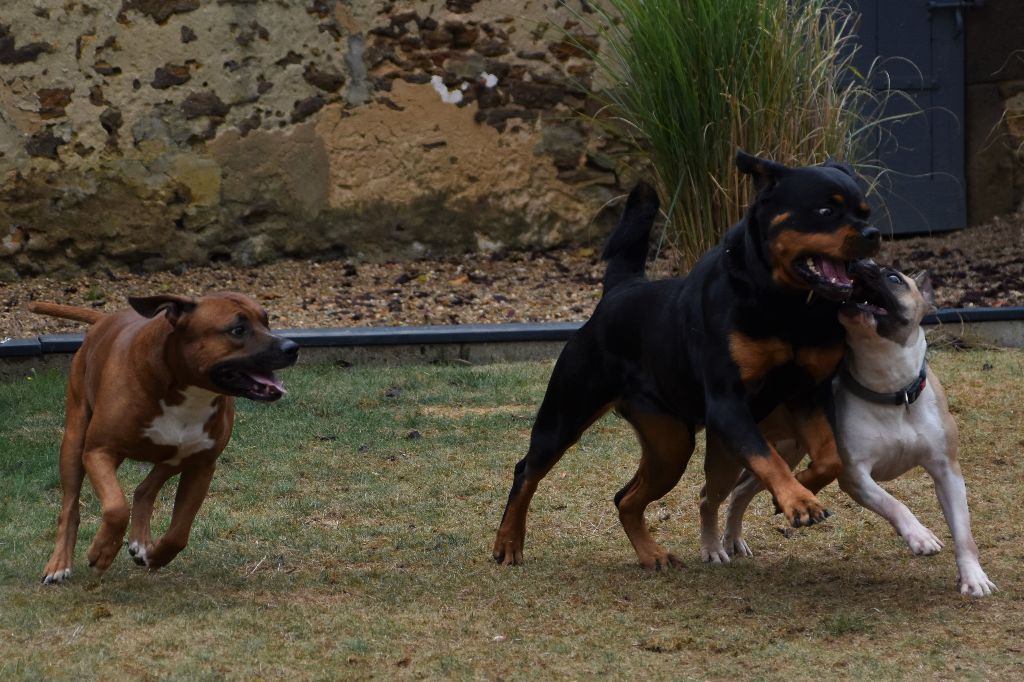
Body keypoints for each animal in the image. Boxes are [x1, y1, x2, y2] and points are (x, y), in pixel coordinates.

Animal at [32, 288, 296, 581]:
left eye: (267, 322)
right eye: (238, 330)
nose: (292, 347)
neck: (185, 391)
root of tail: (103, 320)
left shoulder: (201, 465)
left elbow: (179, 533)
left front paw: (155, 556)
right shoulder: (98, 451)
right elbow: (116, 508)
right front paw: (102, 550)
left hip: (174, 456)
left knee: (144, 489)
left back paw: (141, 542)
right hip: (74, 441)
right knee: (70, 508)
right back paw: (59, 564)